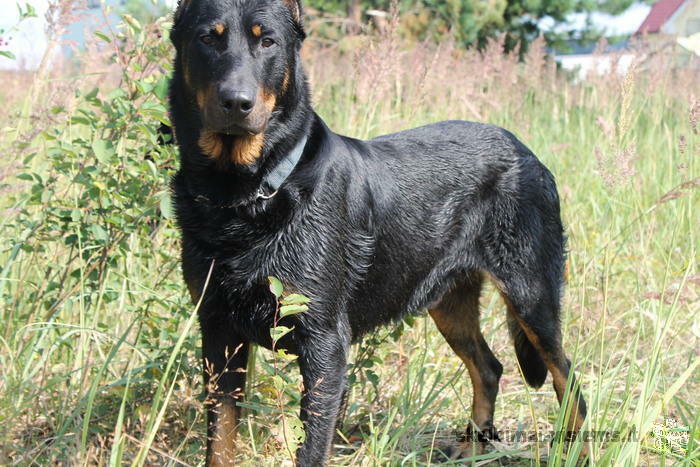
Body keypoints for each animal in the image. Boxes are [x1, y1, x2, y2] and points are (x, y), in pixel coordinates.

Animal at [168, 0, 584, 464]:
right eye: (208, 37)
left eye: (268, 41)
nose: (236, 102)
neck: (251, 193)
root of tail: (527, 151)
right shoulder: (219, 334)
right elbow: (219, 441)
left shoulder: (325, 347)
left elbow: (310, 447)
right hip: (449, 301)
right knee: (489, 368)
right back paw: (470, 447)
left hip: (531, 294)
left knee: (568, 378)